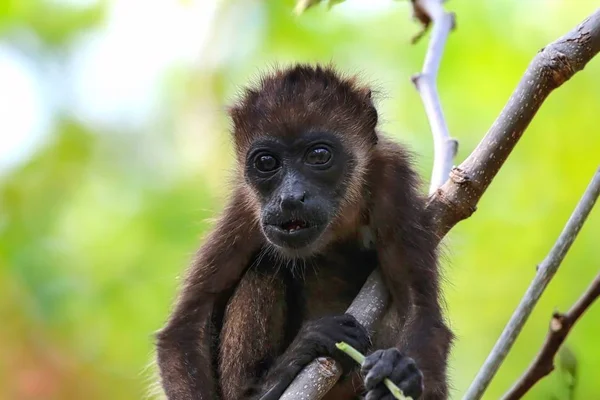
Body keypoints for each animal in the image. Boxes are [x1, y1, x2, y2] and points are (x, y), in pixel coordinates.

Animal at [157, 64, 452, 398]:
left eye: (319, 156)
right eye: (266, 162)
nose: (290, 197)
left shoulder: (393, 178)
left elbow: (420, 309)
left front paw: (401, 374)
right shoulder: (245, 208)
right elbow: (185, 327)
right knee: (266, 267)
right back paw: (271, 383)